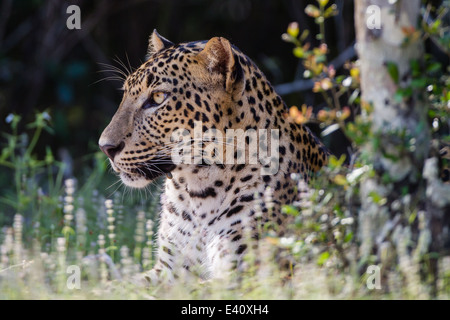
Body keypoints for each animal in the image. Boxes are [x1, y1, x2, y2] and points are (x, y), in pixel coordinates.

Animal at [99, 29, 326, 280]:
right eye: (125, 94)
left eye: (158, 98)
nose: (105, 147)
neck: (197, 190)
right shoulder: (168, 268)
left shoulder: (241, 274)